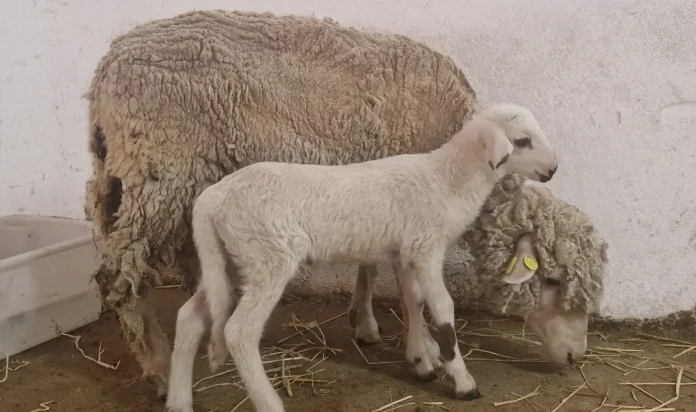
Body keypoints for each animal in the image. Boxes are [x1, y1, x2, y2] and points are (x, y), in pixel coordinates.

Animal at [80, 8, 478, 396]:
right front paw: (424, 350)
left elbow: (371, 265)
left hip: (148, 178)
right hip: (162, 170)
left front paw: (367, 324)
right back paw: (159, 366)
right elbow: (410, 288)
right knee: (119, 275)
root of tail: (106, 68)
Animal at [166, 102, 556, 412]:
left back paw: (178, 401)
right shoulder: (426, 246)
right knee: (238, 331)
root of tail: (212, 198)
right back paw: (269, 403)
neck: (447, 178)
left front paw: (420, 359)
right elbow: (443, 308)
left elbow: (413, 301)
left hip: (229, 259)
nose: (553, 170)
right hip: (268, 255)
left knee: (189, 317)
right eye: (523, 141)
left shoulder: (404, 250)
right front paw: (461, 380)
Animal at [350, 171, 608, 366]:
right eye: (552, 280)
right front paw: (424, 346)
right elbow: (410, 292)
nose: (576, 355)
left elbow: (370, 266)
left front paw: (365, 323)